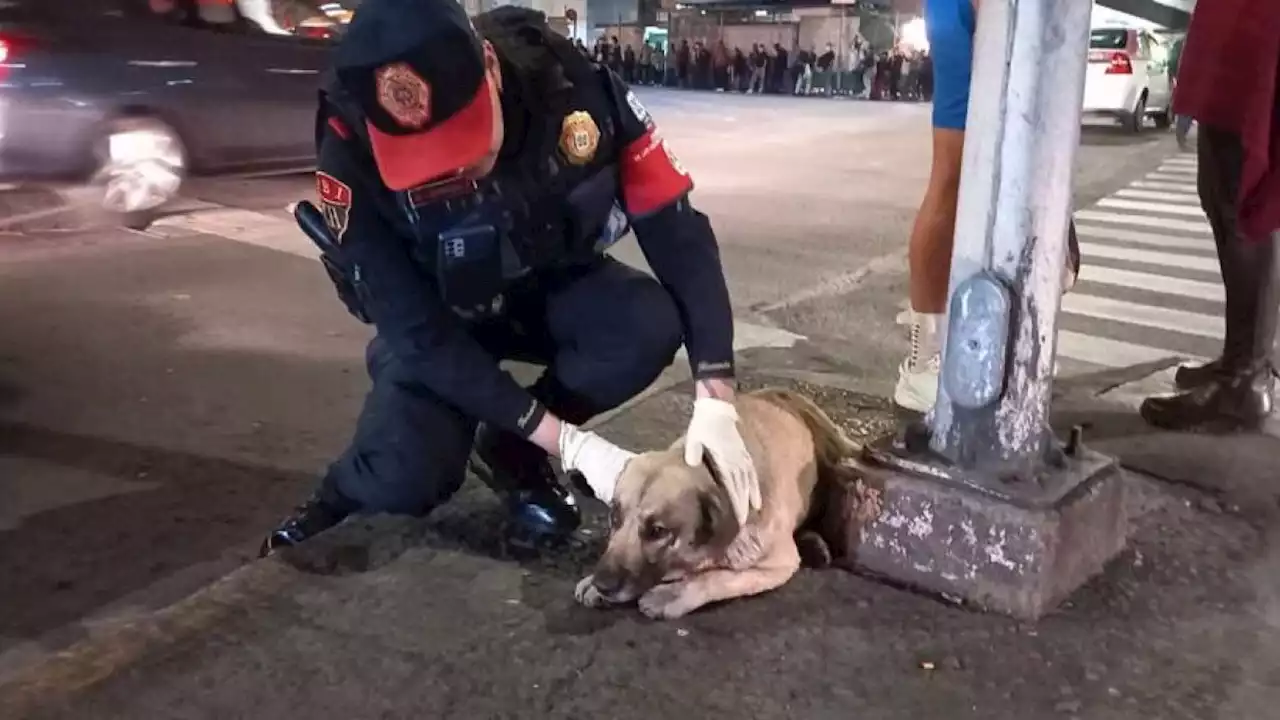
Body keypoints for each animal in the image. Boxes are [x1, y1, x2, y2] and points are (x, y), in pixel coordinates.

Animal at [573, 386, 855, 617]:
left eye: (658, 531)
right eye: (615, 517)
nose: (603, 585)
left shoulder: (777, 564)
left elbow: (719, 577)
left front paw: (673, 593)